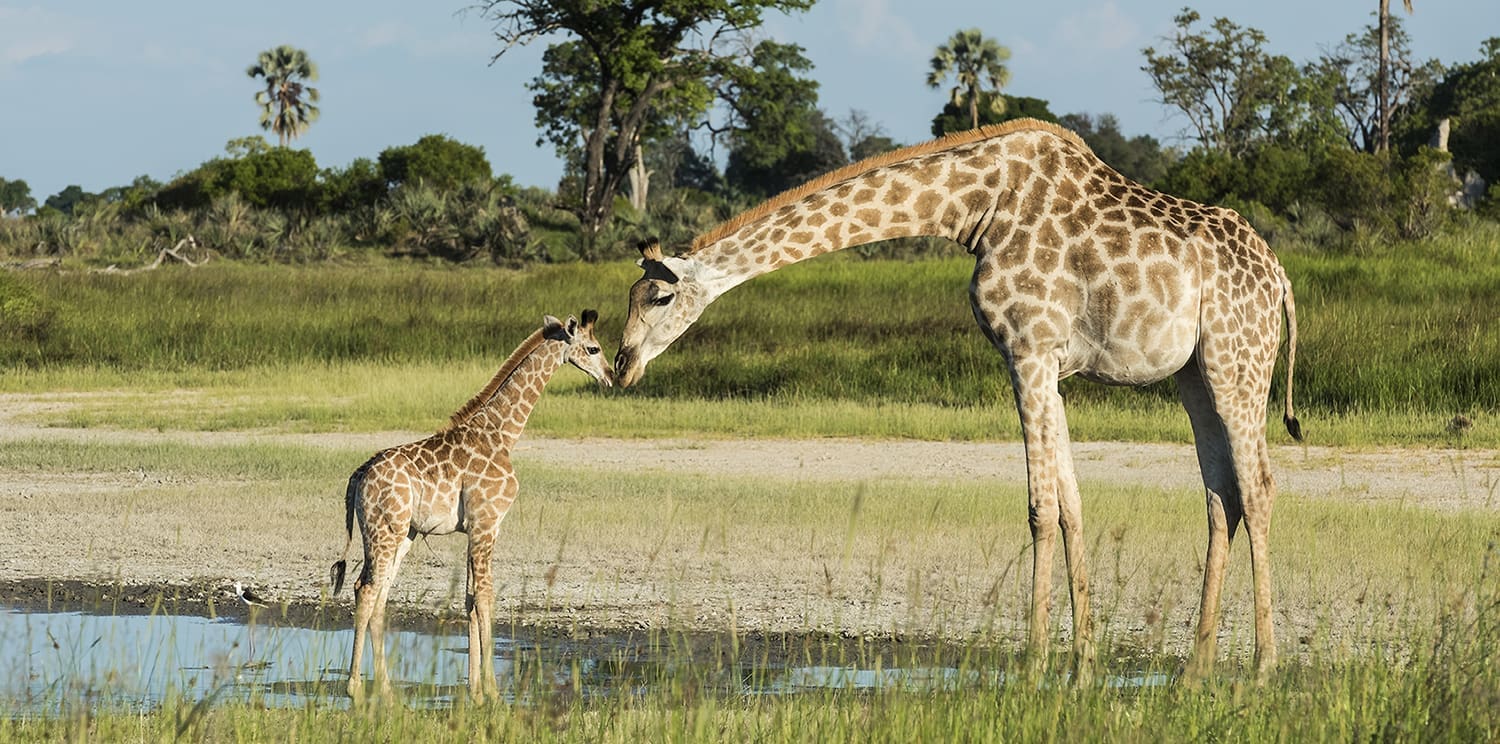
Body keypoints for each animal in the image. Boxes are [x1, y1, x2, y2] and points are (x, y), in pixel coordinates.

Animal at [331, 309, 612, 702]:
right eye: (593, 347)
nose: (611, 376)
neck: (503, 433)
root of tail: (358, 475)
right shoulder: (487, 523)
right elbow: (485, 596)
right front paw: (492, 690)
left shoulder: (475, 528)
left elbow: (468, 599)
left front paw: (475, 689)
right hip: (384, 529)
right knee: (367, 589)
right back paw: (355, 688)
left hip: (403, 534)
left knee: (379, 593)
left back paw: (385, 689)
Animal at [615, 117, 1296, 681]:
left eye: (659, 297)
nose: (621, 366)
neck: (977, 208)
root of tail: (1283, 280)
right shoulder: (1046, 361)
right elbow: (1072, 505)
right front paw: (1082, 667)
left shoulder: (1027, 348)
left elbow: (1040, 508)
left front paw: (1033, 668)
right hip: (1195, 375)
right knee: (1222, 495)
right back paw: (1194, 672)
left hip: (1238, 361)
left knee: (1259, 486)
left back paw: (1263, 670)